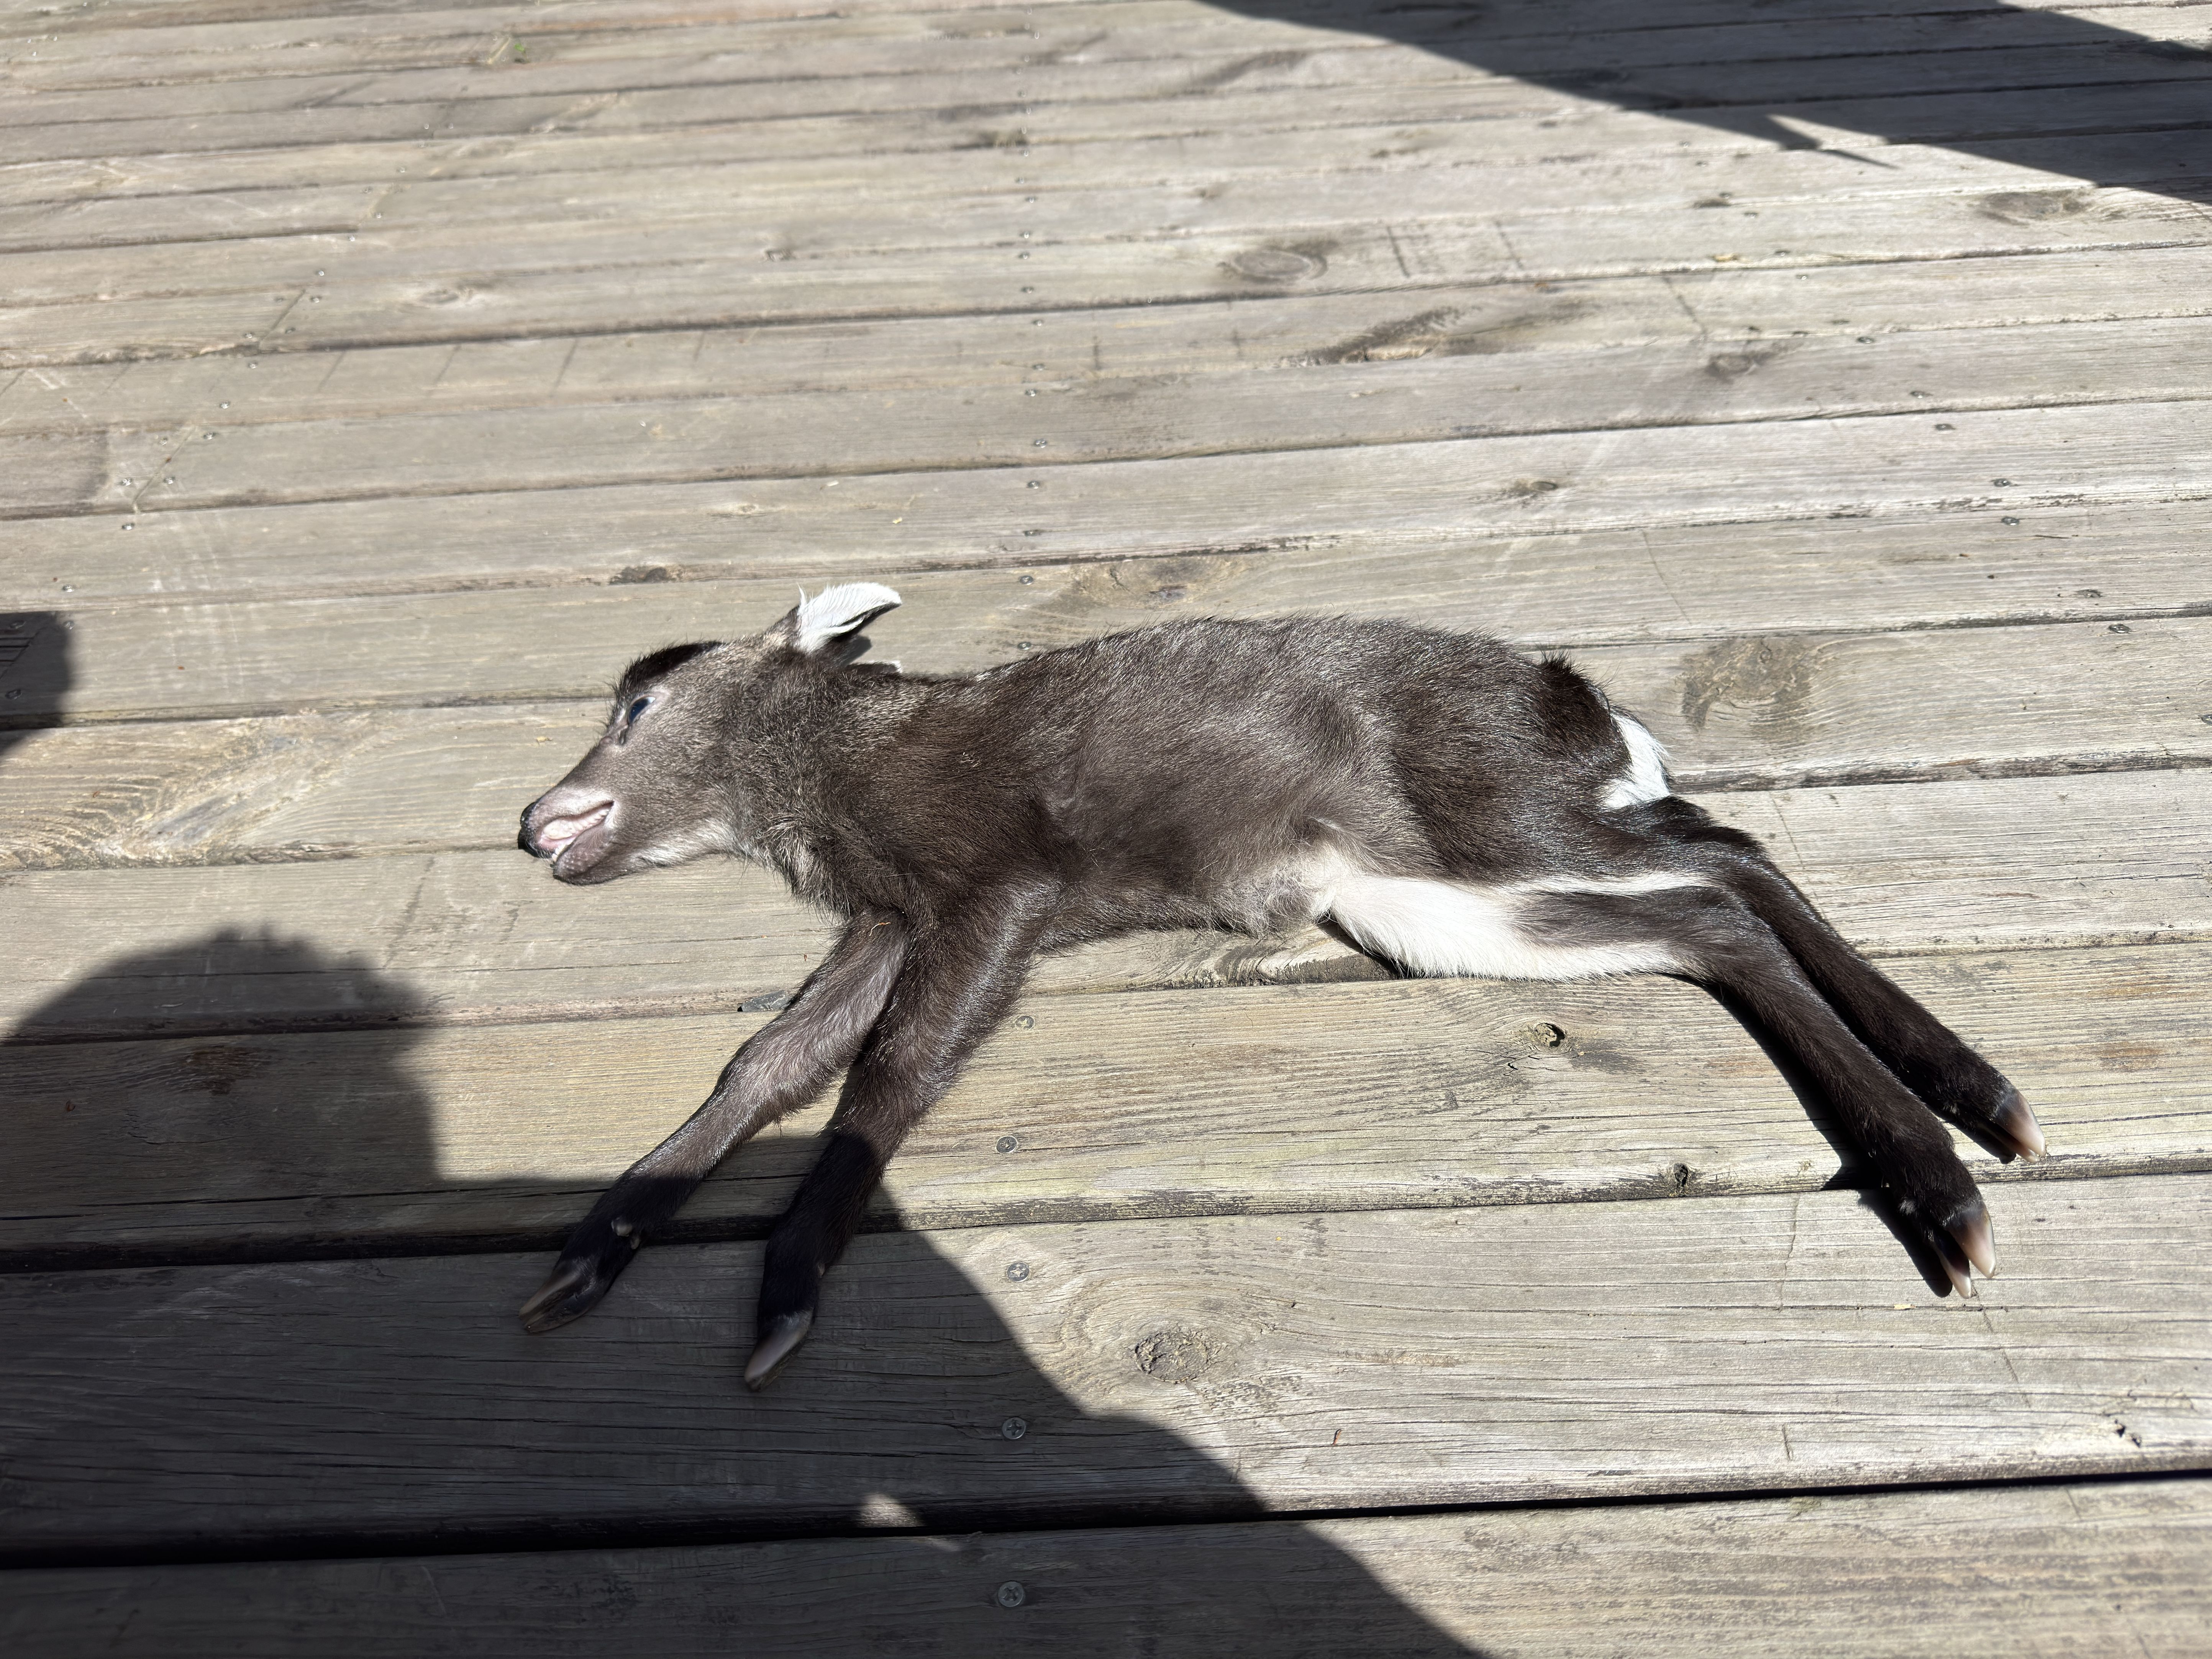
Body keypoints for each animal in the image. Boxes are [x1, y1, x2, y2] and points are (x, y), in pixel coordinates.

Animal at [517, 583, 2045, 1389]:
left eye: (637, 707)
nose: (535, 819)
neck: (848, 785)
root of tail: (1596, 715)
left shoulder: (1000, 883)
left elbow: (891, 1070)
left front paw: (783, 1295)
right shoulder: (894, 914)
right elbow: (769, 1060)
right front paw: (595, 1242)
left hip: (1489, 816)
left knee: (1724, 855)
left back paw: (1955, 1144)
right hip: (1421, 900)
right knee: (1700, 912)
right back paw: (1954, 1123)